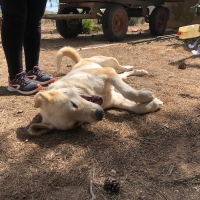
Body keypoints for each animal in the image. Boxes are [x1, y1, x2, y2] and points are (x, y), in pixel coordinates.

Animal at [27, 46, 162, 135]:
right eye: (76, 123)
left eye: (73, 104)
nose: (100, 114)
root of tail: (80, 61)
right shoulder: (114, 99)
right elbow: (135, 107)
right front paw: (153, 104)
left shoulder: (108, 73)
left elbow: (127, 91)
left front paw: (146, 96)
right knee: (123, 75)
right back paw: (138, 72)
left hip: (109, 62)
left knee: (121, 68)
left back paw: (134, 68)